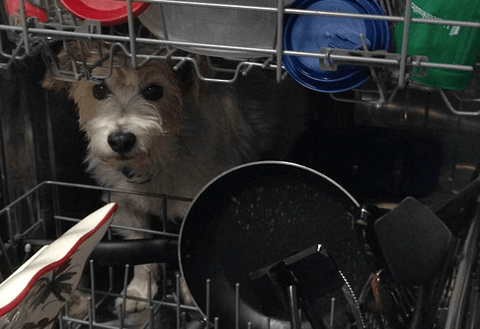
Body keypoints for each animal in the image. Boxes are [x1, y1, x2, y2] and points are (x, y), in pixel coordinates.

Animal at [41, 40, 312, 312]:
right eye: (98, 90)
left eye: (154, 90)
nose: (121, 140)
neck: (156, 158)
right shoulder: (128, 206)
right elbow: (140, 252)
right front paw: (140, 291)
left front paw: (191, 294)